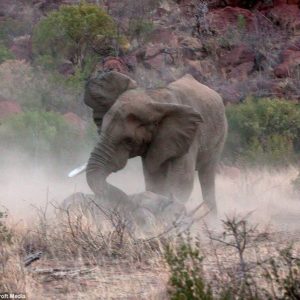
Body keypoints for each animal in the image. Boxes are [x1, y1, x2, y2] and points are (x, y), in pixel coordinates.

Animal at [84, 71, 227, 214]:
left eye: (128, 141)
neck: (154, 99)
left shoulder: (190, 135)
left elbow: (182, 181)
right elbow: (154, 178)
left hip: (220, 136)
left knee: (207, 176)